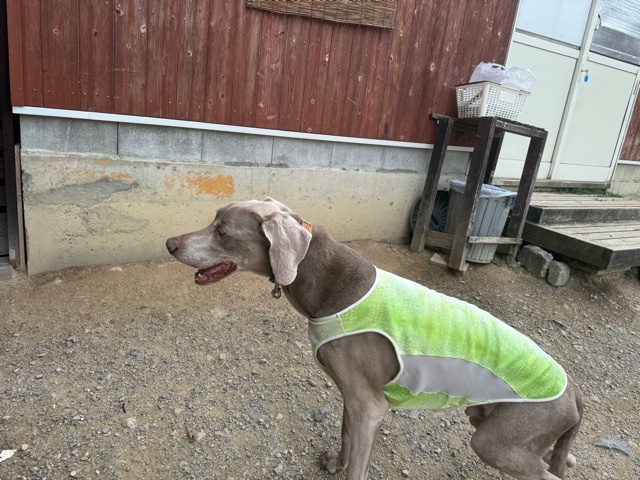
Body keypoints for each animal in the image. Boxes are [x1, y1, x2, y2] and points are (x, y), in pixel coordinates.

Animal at [166, 198, 583, 480]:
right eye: (213, 220)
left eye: (222, 231)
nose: (170, 243)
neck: (328, 283)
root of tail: (574, 392)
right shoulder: (352, 395)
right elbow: (345, 438)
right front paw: (334, 464)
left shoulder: (370, 407)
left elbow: (359, 461)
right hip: (491, 423)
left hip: (497, 440)